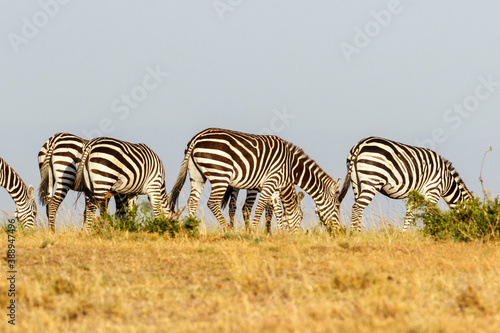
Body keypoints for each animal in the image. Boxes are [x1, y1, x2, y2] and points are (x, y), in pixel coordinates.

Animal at [167, 127, 340, 231]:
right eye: (337, 206)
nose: (340, 230)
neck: (290, 167)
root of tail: (198, 137)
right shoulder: (270, 182)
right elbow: (260, 208)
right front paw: (255, 231)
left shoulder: (275, 188)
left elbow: (277, 211)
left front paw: (279, 233)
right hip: (220, 175)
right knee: (212, 203)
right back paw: (229, 230)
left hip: (197, 175)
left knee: (192, 201)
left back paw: (192, 228)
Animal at [340, 135, 472, 231]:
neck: (446, 181)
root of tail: (361, 144)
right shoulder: (433, 191)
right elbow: (429, 215)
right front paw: (429, 234)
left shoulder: (415, 196)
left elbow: (409, 215)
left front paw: (404, 234)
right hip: (372, 180)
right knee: (357, 207)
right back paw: (356, 234)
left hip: (356, 182)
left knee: (357, 208)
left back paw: (356, 232)